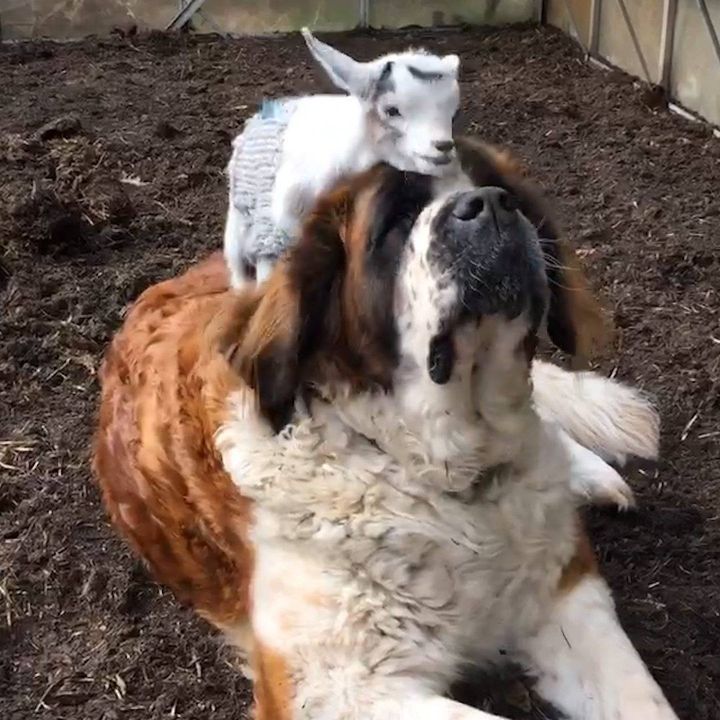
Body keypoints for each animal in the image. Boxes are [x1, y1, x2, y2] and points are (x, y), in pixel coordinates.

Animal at [94, 136, 676, 720]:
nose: (489, 204)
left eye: (502, 189)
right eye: (397, 218)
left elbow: (644, 699)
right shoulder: (335, 688)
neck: (444, 476)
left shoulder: (569, 593)